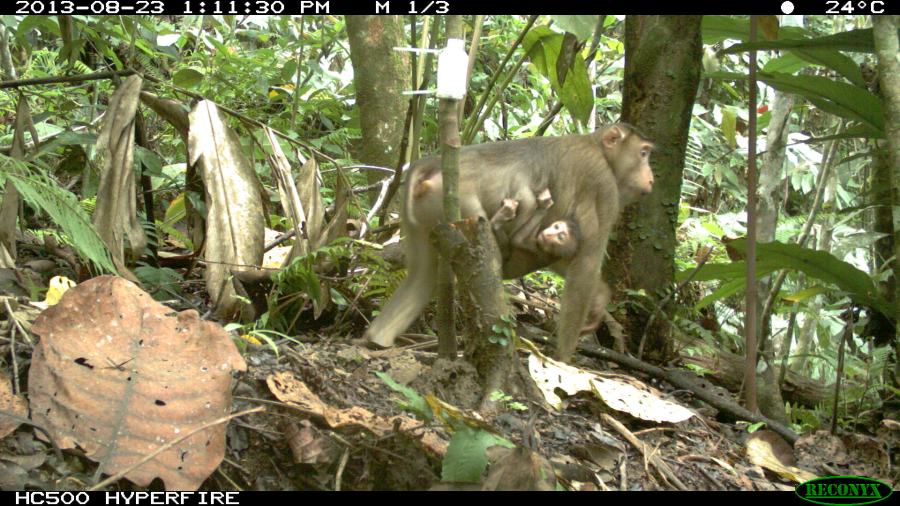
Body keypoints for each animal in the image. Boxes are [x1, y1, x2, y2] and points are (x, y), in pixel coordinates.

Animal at [364, 123, 654, 361]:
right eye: (643, 154)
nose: (651, 177)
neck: (598, 149)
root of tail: (434, 164)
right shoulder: (602, 184)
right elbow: (585, 263)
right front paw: (563, 361)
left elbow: (562, 256)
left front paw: (600, 298)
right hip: (459, 202)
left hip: (422, 211)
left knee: (423, 273)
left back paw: (377, 341)